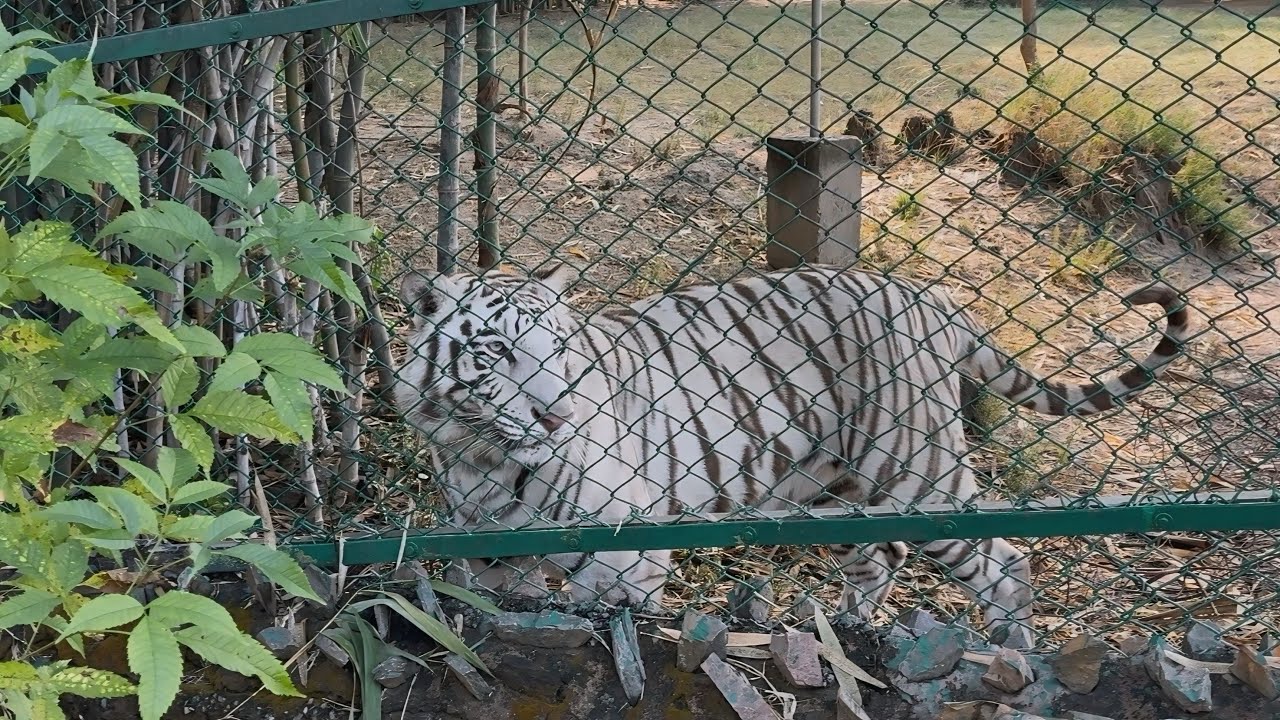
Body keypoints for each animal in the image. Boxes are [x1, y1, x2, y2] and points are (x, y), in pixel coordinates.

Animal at [393, 262, 1188, 647]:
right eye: (496, 353)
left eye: (558, 347)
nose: (555, 413)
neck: (479, 451)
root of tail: (932, 298)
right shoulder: (492, 559)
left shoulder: (624, 557)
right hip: (830, 491)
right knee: (879, 558)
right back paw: (844, 629)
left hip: (920, 475)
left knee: (1005, 562)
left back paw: (1012, 646)